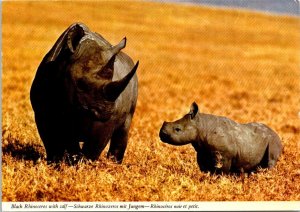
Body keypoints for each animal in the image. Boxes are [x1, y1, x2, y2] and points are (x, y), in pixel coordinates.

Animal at [30, 22, 138, 163]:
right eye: (80, 84)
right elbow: (52, 139)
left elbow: (93, 145)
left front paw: (83, 164)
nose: (105, 111)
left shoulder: (105, 121)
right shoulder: (41, 111)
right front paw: (54, 162)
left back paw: (113, 163)